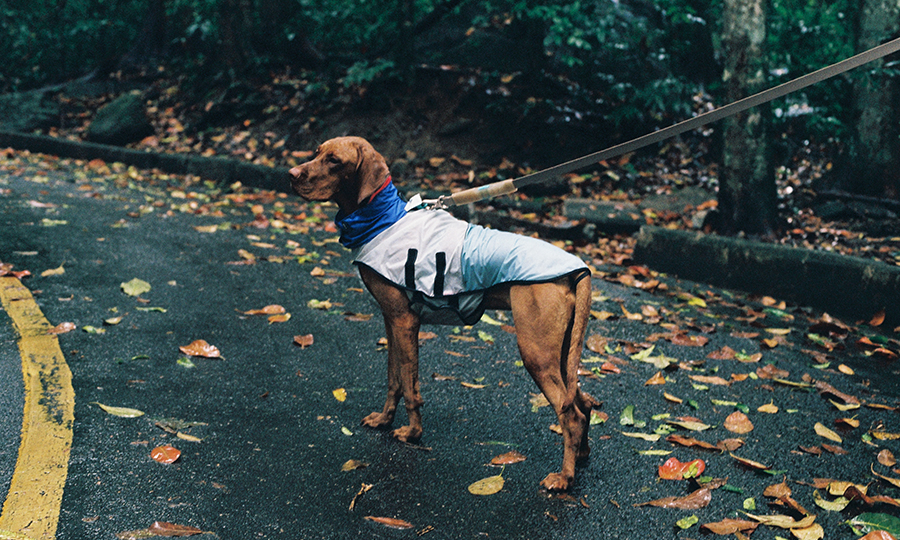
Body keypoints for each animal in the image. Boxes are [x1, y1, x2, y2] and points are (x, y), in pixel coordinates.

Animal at [290, 137, 596, 492]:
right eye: (316, 152)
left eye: (335, 161)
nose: (291, 174)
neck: (384, 220)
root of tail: (577, 270)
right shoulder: (391, 319)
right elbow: (394, 378)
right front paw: (383, 420)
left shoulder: (405, 322)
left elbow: (411, 386)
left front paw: (412, 433)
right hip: (559, 351)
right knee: (582, 402)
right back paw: (581, 457)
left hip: (536, 352)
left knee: (570, 413)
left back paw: (564, 477)